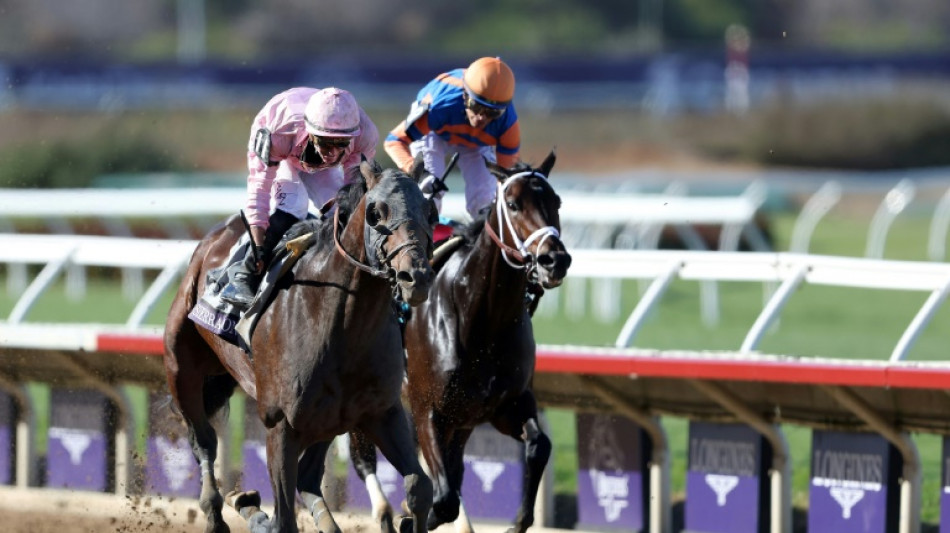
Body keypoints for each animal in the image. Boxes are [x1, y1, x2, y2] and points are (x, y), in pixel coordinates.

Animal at [163, 159, 438, 532]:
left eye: (430, 211)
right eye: (375, 213)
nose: (417, 277)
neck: (342, 326)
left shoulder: (382, 411)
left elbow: (420, 487)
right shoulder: (281, 425)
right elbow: (284, 517)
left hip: (330, 419)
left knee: (307, 477)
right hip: (182, 369)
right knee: (204, 443)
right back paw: (222, 512)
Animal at [350, 151, 572, 532]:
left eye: (555, 202)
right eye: (513, 204)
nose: (554, 259)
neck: (482, 318)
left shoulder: (505, 405)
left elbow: (538, 446)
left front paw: (518, 521)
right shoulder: (427, 410)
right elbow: (443, 498)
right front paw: (411, 516)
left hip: (461, 421)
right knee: (363, 458)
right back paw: (382, 512)